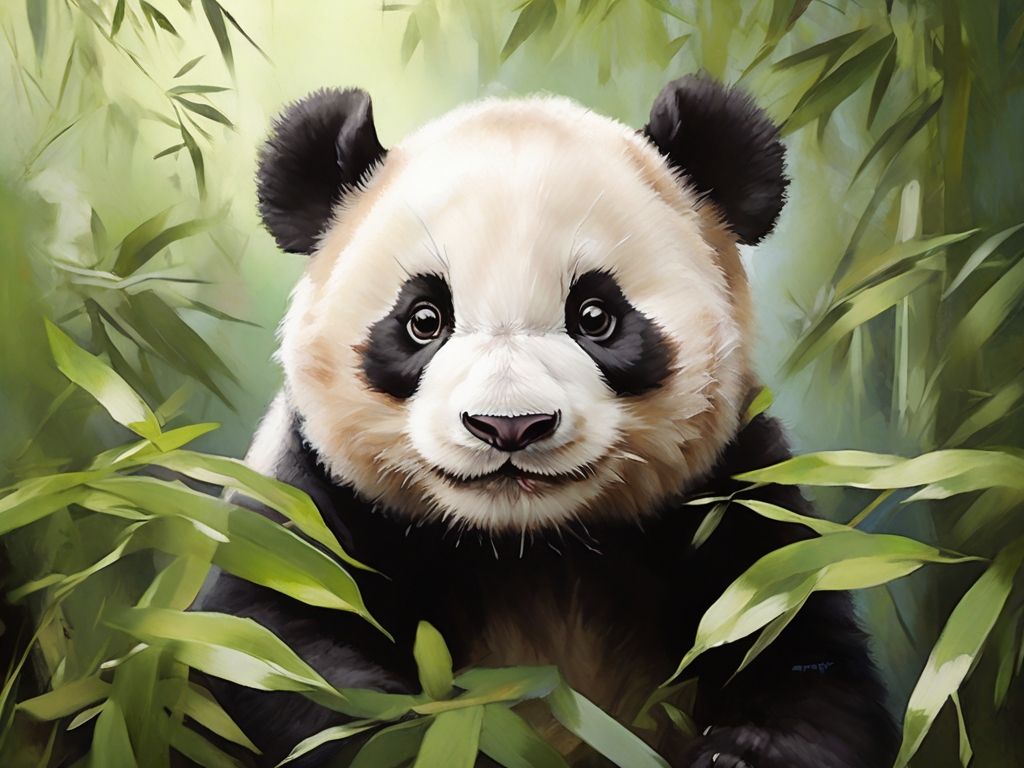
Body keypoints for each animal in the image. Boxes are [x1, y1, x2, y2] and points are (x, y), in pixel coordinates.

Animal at [200, 76, 897, 768]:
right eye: (424, 319)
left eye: (595, 316)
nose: (509, 426)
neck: (525, 545)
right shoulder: (315, 499)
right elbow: (288, 654)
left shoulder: (732, 495)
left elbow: (798, 652)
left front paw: (738, 755)